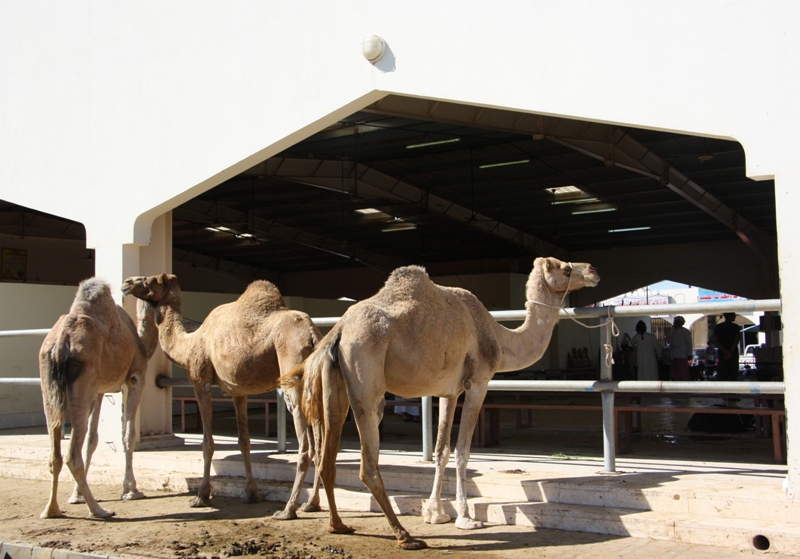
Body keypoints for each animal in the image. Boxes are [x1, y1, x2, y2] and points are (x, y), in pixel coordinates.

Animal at [39, 278, 159, 520]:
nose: (127, 283)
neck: (141, 342)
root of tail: (61, 342)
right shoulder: (135, 378)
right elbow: (128, 435)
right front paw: (131, 490)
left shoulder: (100, 390)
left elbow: (92, 439)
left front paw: (76, 495)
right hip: (83, 376)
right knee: (71, 454)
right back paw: (98, 510)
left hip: (49, 379)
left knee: (55, 447)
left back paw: (51, 510)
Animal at [121, 274, 322, 520]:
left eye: (149, 280)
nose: (127, 283)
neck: (189, 344)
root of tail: (312, 336)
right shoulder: (238, 391)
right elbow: (244, 442)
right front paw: (251, 493)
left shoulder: (200, 382)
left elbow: (207, 443)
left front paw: (201, 496)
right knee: (320, 444)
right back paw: (310, 504)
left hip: (292, 375)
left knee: (306, 445)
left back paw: (287, 510)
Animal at [300, 258, 600, 552]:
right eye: (566, 269)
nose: (593, 270)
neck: (497, 336)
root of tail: (339, 331)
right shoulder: (478, 383)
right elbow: (462, 451)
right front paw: (466, 518)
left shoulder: (450, 392)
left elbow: (441, 450)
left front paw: (435, 513)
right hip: (367, 376)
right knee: (368, 464)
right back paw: (405, 536)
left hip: (335, 384)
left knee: (327, 457)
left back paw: (338, 525)